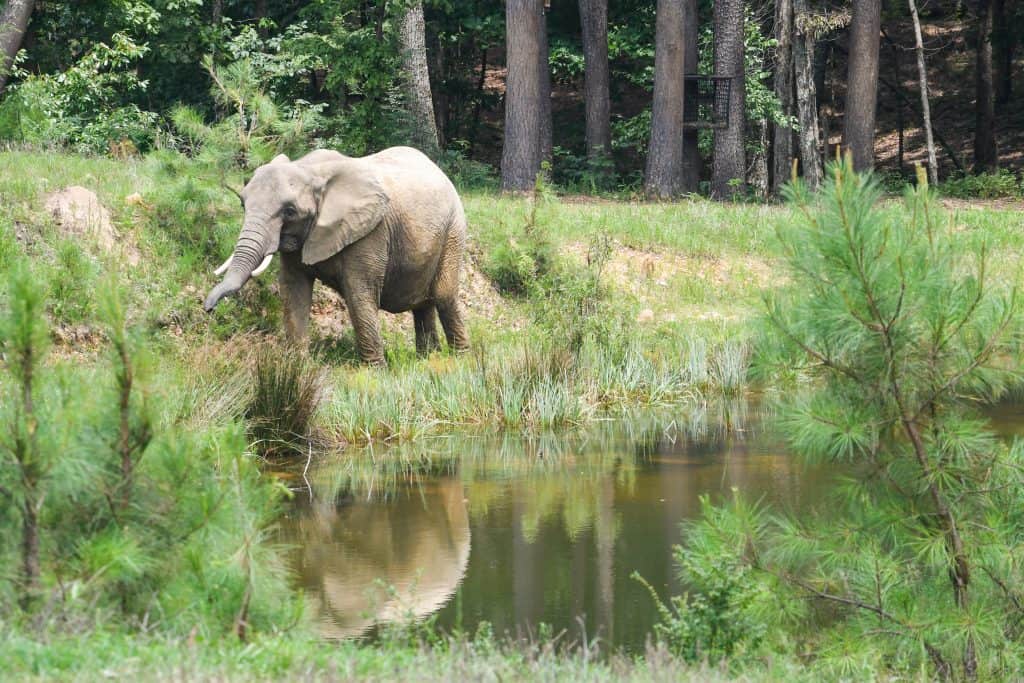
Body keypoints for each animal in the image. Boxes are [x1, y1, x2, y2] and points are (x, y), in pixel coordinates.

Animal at [203, 147, 470, 365]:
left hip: (453, 230)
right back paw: (429, 359)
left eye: (289, 211)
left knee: (444, 295)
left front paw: (373, 372)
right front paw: (296, 368)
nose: (208, 308)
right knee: (422, 305)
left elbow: (359, 295)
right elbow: (294, 292)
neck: (309, 170)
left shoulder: (369, 233)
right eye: (243, 204)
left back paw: (460, 359)